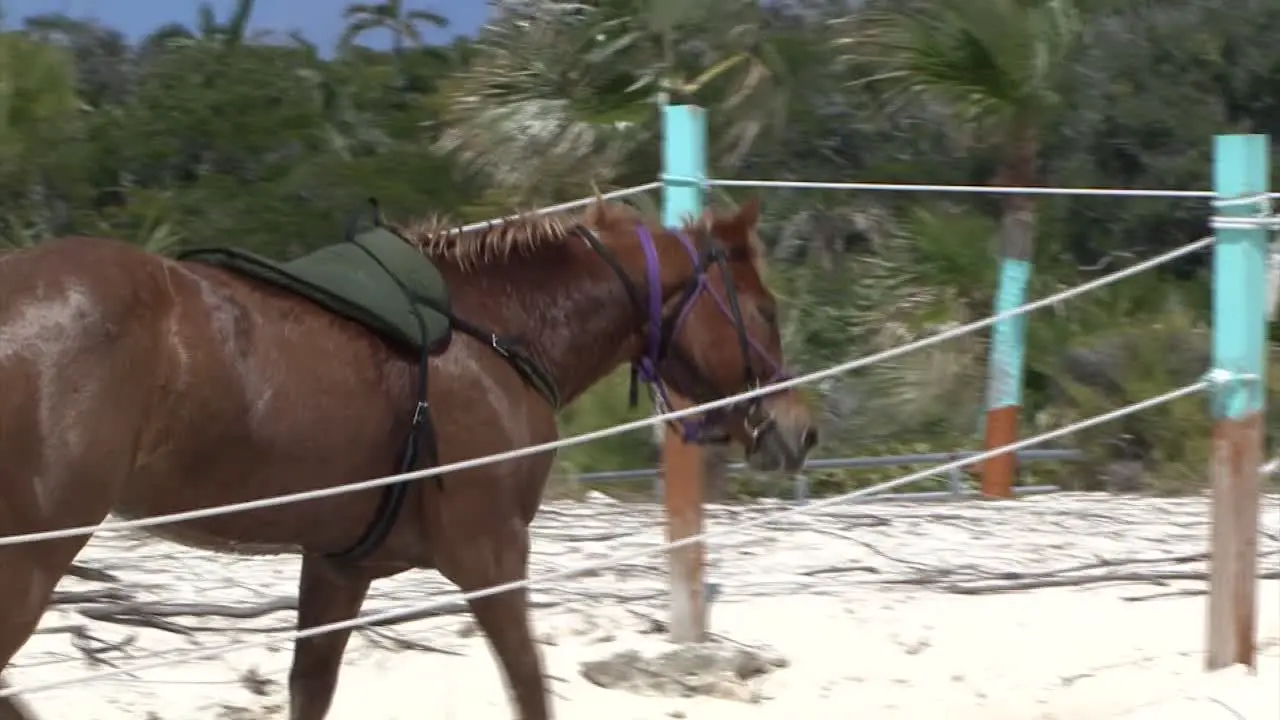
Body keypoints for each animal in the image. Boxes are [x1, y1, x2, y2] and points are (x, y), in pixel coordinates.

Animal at [0, 193, 819, 712]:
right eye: (765, 311)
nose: (801, 428)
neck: (496, 331)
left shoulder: (339, 568)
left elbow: (312, 690)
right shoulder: (491, 558)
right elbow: (530, 687)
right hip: (33, 560)